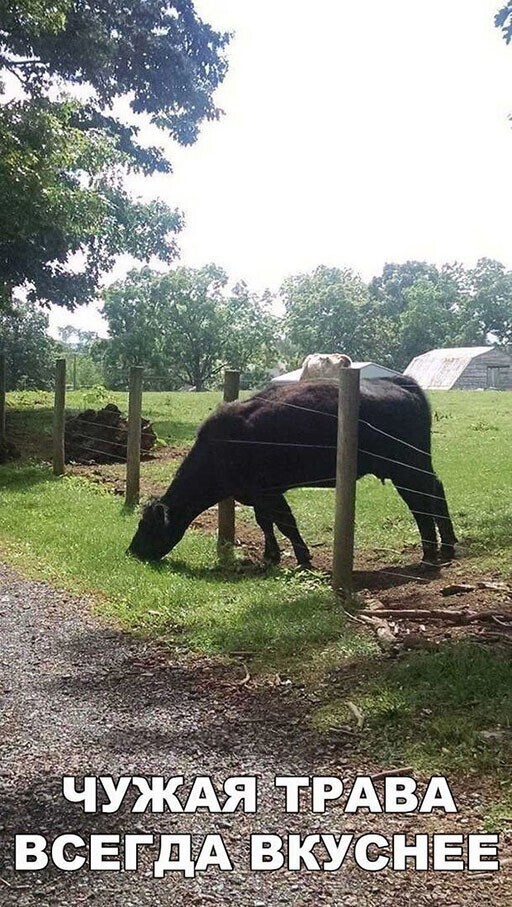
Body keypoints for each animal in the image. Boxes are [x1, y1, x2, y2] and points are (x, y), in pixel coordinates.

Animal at [128, 378, 456, 568]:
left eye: (147, 526)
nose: (132, 551)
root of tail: (402, 384)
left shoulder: (269, 491)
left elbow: (285, 522)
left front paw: (302, 557)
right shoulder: (257, 494)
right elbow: (265, 523)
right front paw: (270, 555)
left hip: (407, 467)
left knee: (422, 500)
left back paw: (431, 553)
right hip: (414, 465)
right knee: (432, 493)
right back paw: (445, 548)